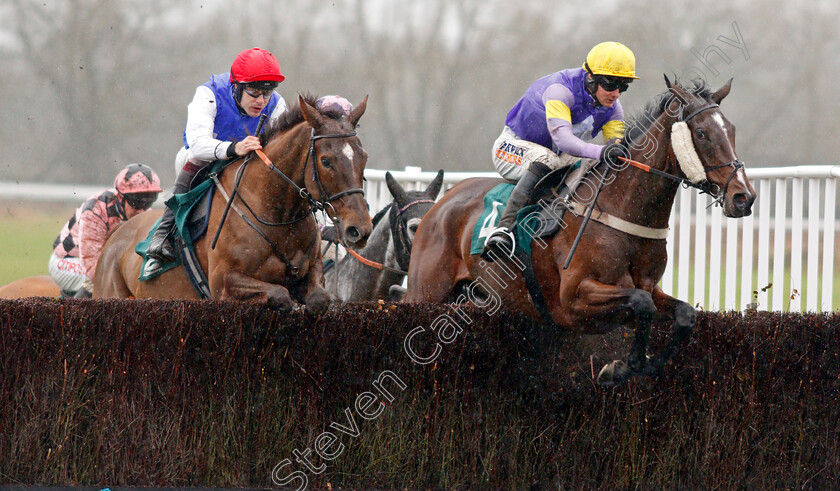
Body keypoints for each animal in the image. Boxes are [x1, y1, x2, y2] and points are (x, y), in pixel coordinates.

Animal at [404, 76, 756, 384]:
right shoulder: (573, 299)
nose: (744, 197)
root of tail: (440, 202)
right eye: (702, 133)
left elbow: (683, 314)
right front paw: (622, 366)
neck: (620, 209)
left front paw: (637, 365)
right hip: (425, 291)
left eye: (732, 130)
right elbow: (642, 303)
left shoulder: (649, 287)